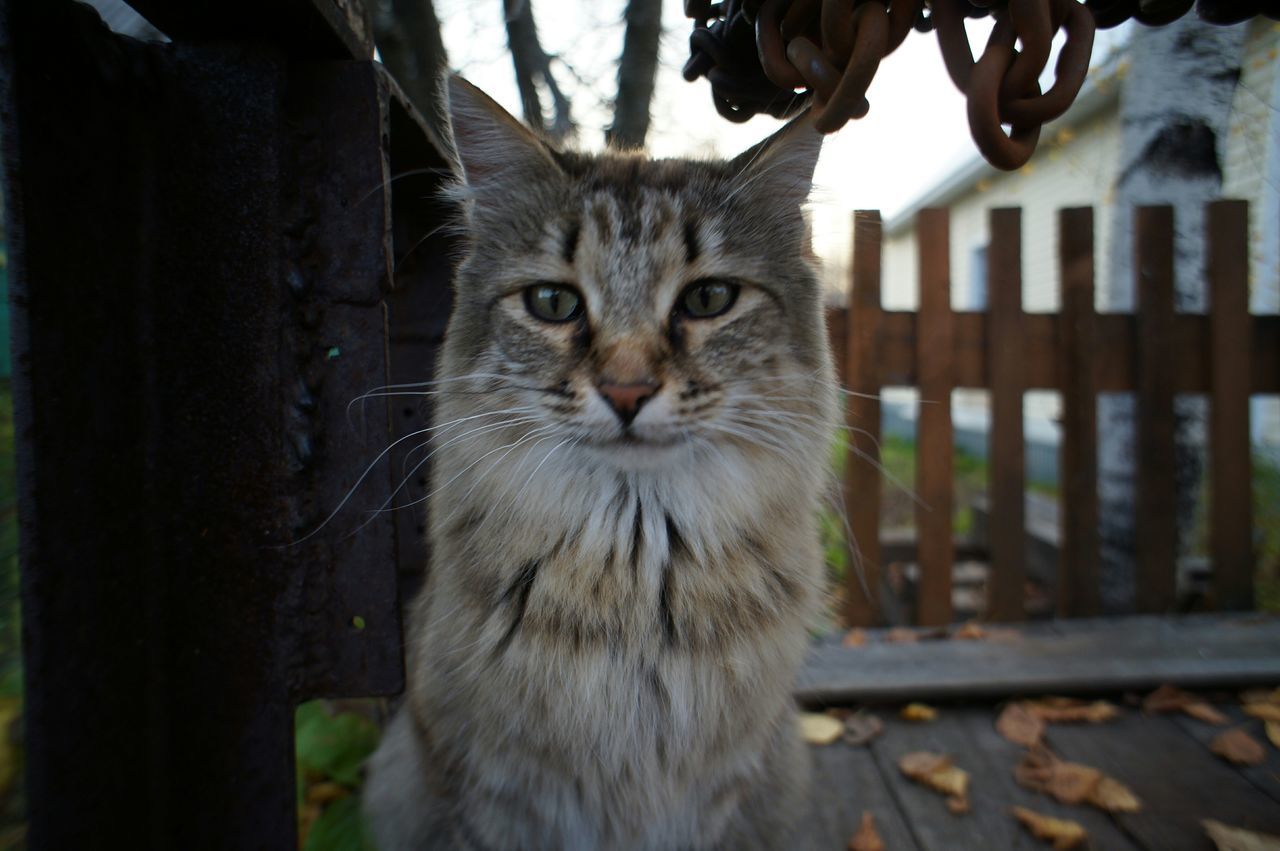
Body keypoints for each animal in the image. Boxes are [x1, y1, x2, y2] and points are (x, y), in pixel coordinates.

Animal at [363, 74, 839, 849]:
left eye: (709, 298)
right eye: (552, 302)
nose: (626, 390)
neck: (638, 571)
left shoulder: (724, 795)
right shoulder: (486, 794)